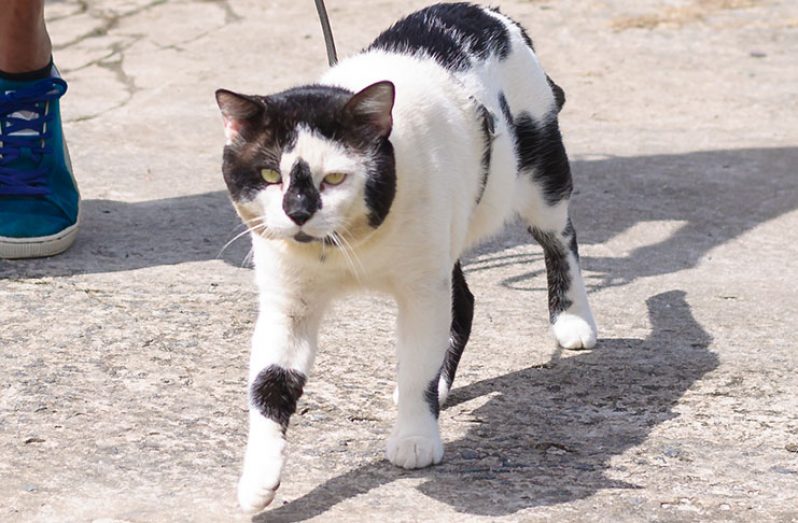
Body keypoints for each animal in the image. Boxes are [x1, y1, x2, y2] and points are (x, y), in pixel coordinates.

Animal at [216, 2, 596, 512]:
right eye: (268, 174)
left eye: (334, 177)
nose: (297, 211)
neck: (345, 247)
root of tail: (486, 12)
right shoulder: (288, 304)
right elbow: (269, 383)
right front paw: (259, 477)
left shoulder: (421, 290)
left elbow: (416, 364)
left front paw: (416, 437)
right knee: (464, 302)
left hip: (540, 175)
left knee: (561, 237)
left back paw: (573, 319)